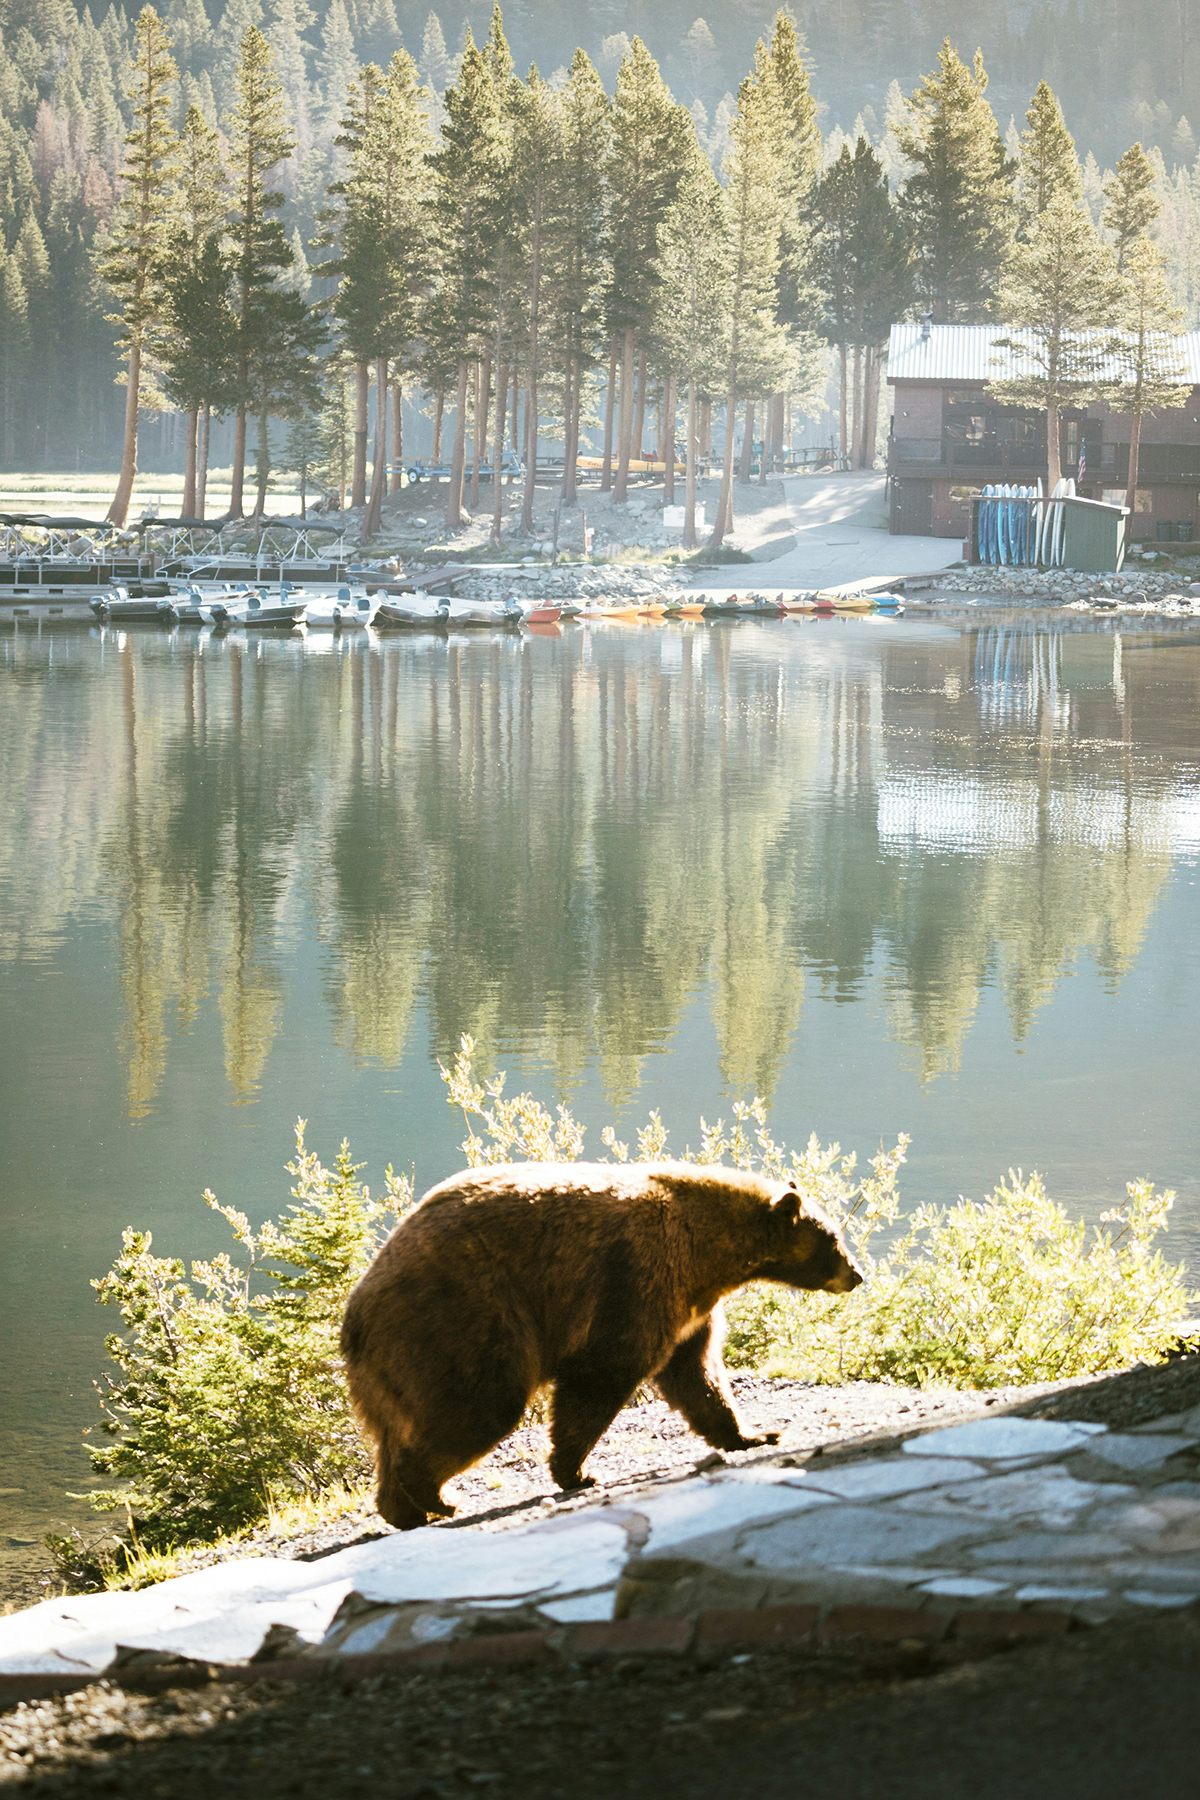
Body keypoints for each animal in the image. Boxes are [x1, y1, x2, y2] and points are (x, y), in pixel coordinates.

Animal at [338, 1159, 863, 1526]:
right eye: (834, 1239)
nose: (857, 1275)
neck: (710, 1255)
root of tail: (357, 1315)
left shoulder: (690, 1308)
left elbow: (698, 1374)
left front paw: (754, 1434)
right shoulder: (637, 1276)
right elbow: (606, 1369)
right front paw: (576, 1471)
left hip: (395, 1366)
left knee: (396, 1430)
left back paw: (402, 1510)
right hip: (462, 1320)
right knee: (483, 1405)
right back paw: (437, 1496)